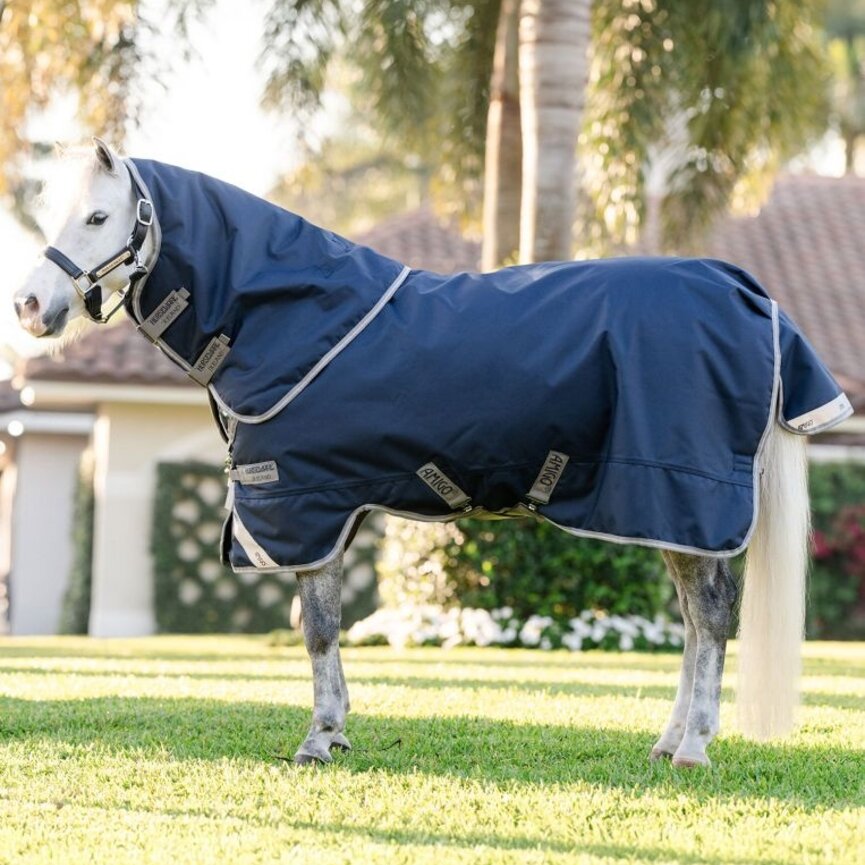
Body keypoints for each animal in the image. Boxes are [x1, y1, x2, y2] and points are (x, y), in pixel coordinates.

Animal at [13, 139, 852, 768]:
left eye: (98, 215)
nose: (28, 306)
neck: (288, 319)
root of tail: (749, 294)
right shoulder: (326, 510)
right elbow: (320, 625)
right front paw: (334, 730)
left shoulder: (305, 506)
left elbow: (316, 628)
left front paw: (319, 737)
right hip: (667, 512)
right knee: (692, 619)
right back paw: (668, 739)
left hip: (682, 497)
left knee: (708, 618)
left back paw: (692, 747)